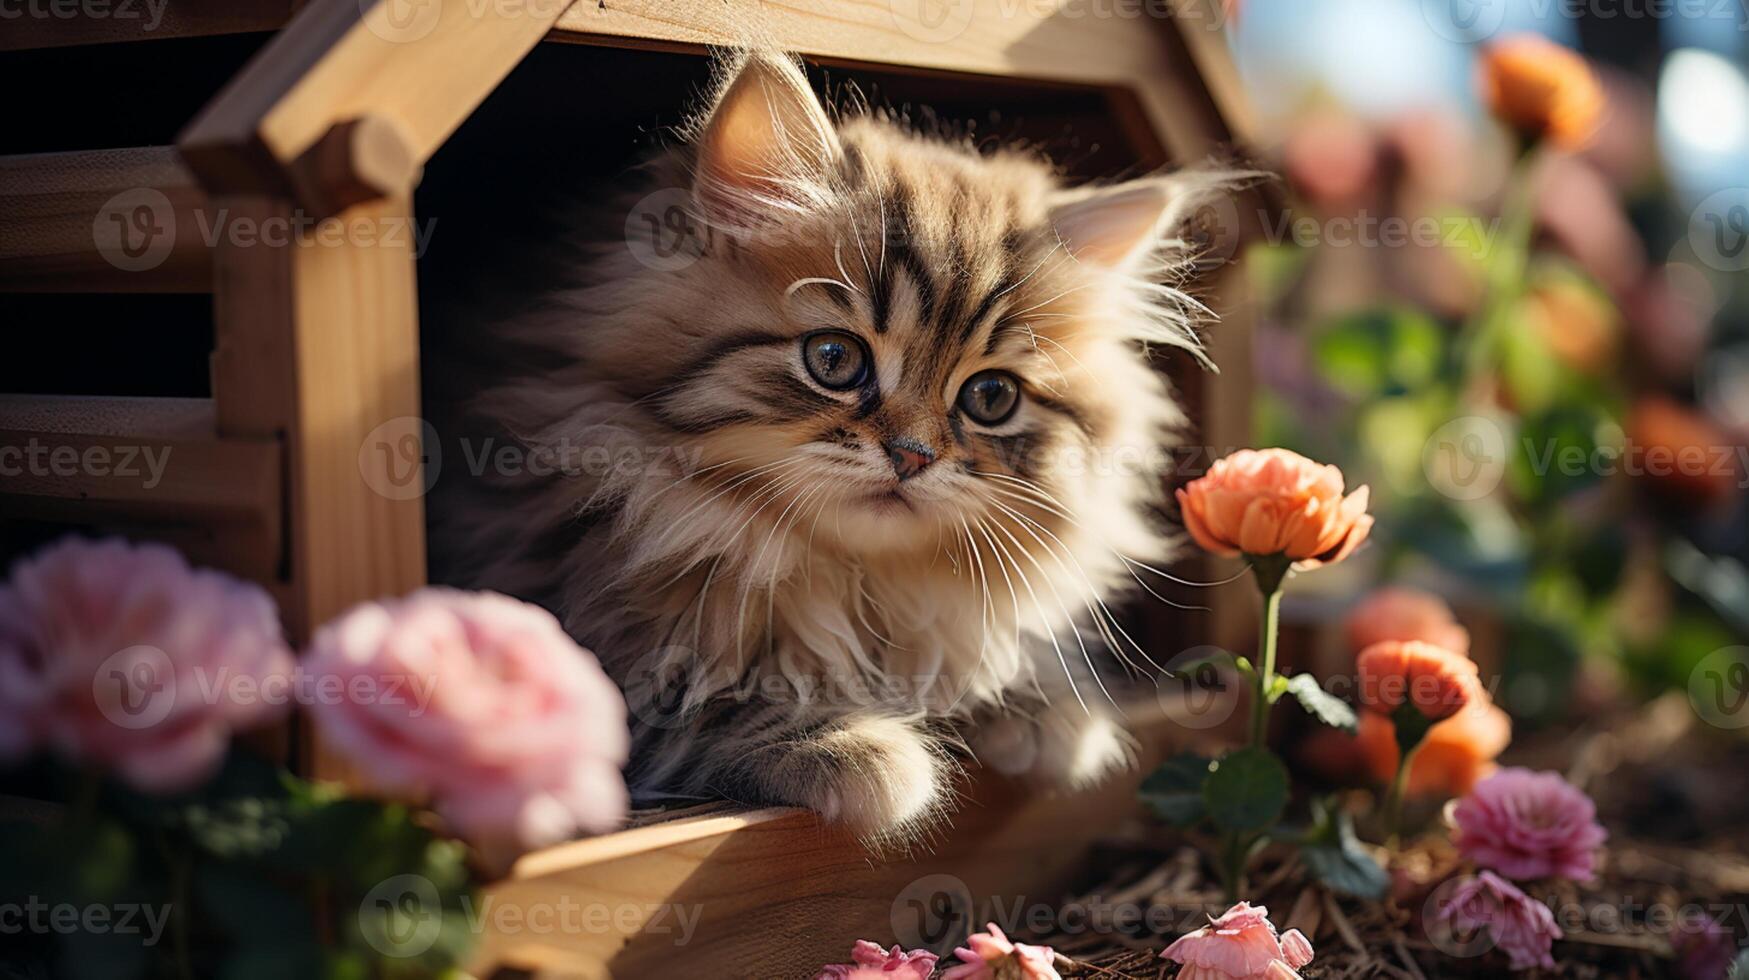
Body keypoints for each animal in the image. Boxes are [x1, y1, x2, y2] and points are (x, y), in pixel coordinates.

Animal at [432, 51, 1224, 843]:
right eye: (835, 360)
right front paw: (856, 745)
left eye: (991, 398)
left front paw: (1048, 714)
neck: (853, 581)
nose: (913, 455)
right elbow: (709, 702)